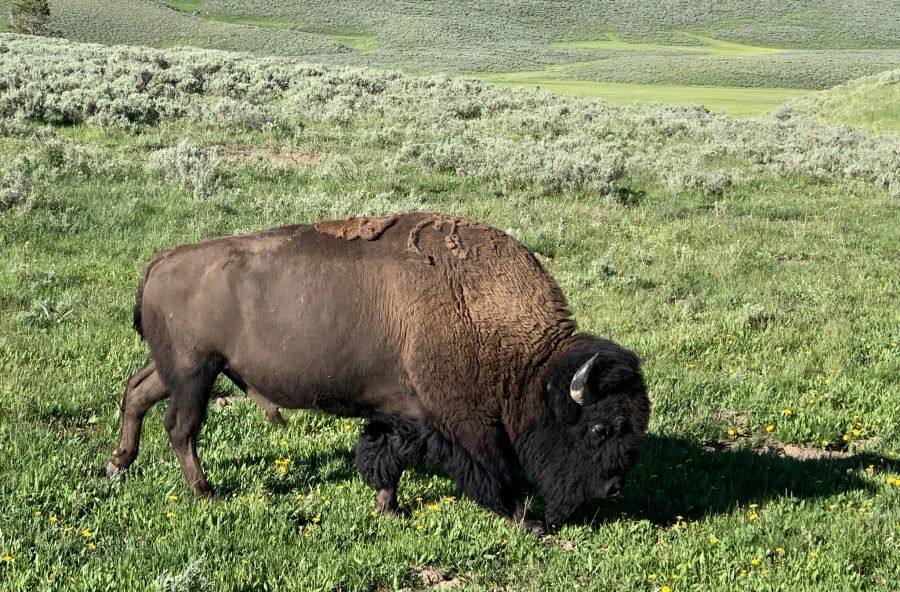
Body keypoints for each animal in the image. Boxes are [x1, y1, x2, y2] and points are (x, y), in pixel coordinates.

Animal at [109, 212, 652, 528]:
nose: (613, 488)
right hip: (195, 372)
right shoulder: (463, 424)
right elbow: (494, 471)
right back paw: (204, 492)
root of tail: (162, 260)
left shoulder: (399, 414)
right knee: (181, 426)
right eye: (601, 427)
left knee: (137, 392)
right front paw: (527, 519)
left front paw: (387, 507)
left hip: (178, 369)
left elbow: (385, 458)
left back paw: (119, 465)